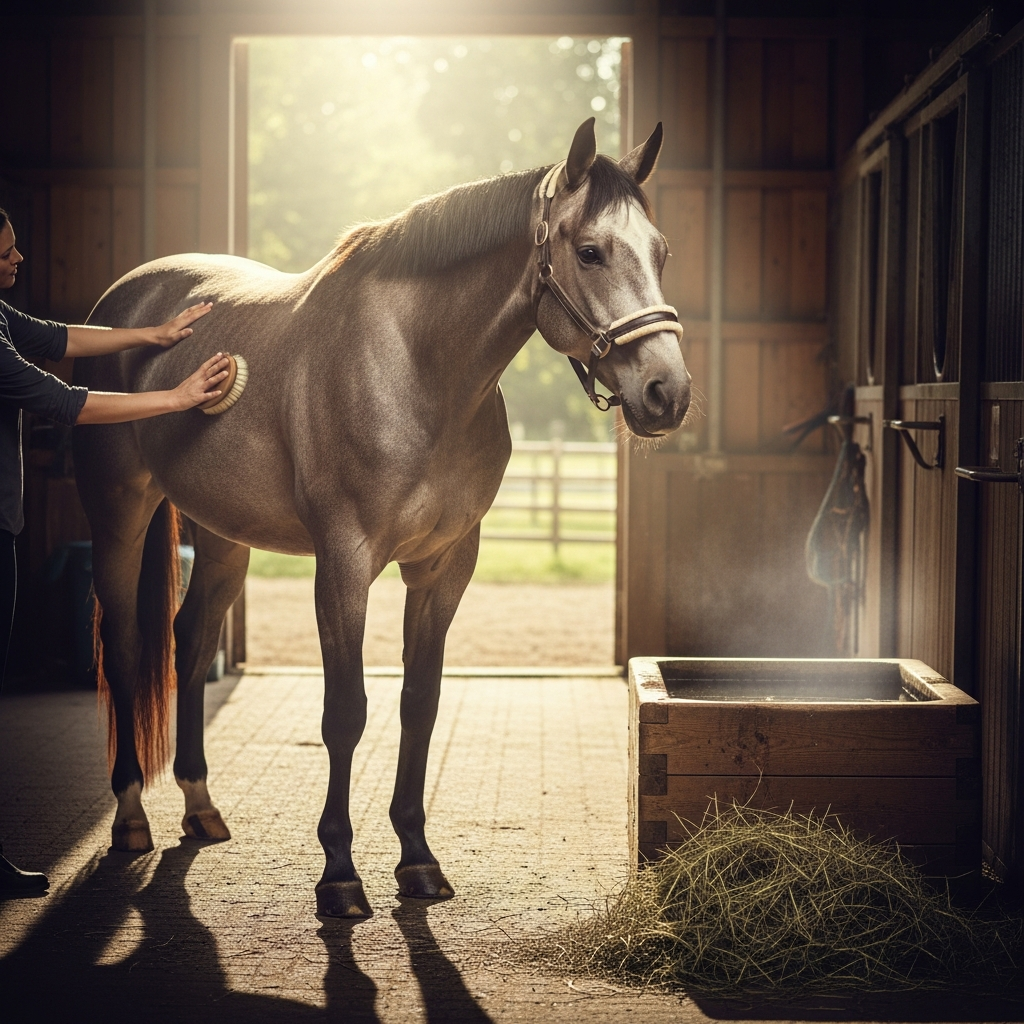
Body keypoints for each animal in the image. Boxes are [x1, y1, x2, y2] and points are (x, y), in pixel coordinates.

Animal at [73, 118, 691, 917]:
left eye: (661, 251)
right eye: (589, 251)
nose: (667, 392)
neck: (415, 368)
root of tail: (124, 302)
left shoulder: (444, 567)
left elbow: (418, 705)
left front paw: (418, 860)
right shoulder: (343, 565)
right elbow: (346, 711)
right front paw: (339, 872)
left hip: (223, 538)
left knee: (189, 639)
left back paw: (201, 807)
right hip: (120, 510)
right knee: (122, 647)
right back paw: (130, 818)